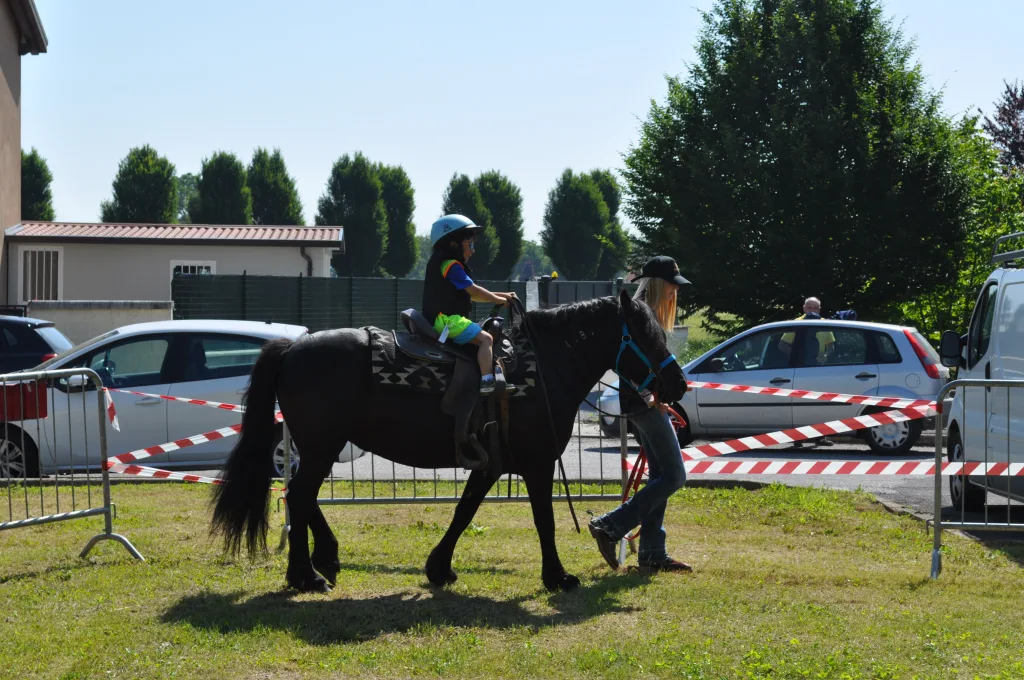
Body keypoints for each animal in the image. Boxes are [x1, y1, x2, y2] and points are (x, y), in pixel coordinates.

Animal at [210, 288, 684, 593]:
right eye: (646, 335)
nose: (678, 384)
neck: (539, 369)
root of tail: (291, 348)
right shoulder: (537, 463)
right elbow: (543, 520)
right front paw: (557, 577)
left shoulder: (490, 462)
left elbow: (464, 510)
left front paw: (438, 568)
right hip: (321, 446)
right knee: (300, 496)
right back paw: (309, 573)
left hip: (318, 447)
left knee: (302, 499)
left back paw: (318, 563)